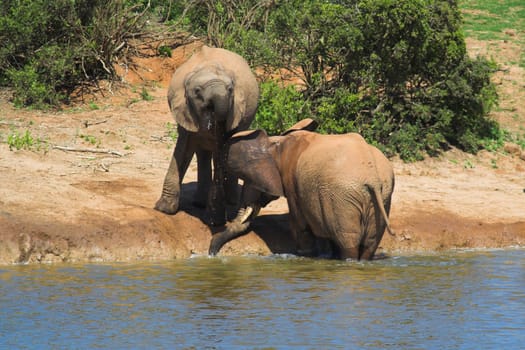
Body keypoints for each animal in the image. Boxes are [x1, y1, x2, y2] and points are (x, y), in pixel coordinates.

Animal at [155, 45, 260, 226]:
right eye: (197, 91)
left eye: (230, 90)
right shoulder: (185, 110)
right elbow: (182, 150)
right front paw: (163, 209)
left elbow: (221, 156)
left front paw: (214, 220)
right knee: (202, 152)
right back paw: (200, 203)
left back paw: (230, 201)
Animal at [209, 120, 392, 260]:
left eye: (251, 182)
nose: (211, 254)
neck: (275, 145)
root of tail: (372, 177)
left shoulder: (292, 183)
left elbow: (299, 224)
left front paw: (304, 255)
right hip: (381, 196)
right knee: (369, 243)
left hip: (345, 196)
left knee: (349, 241)